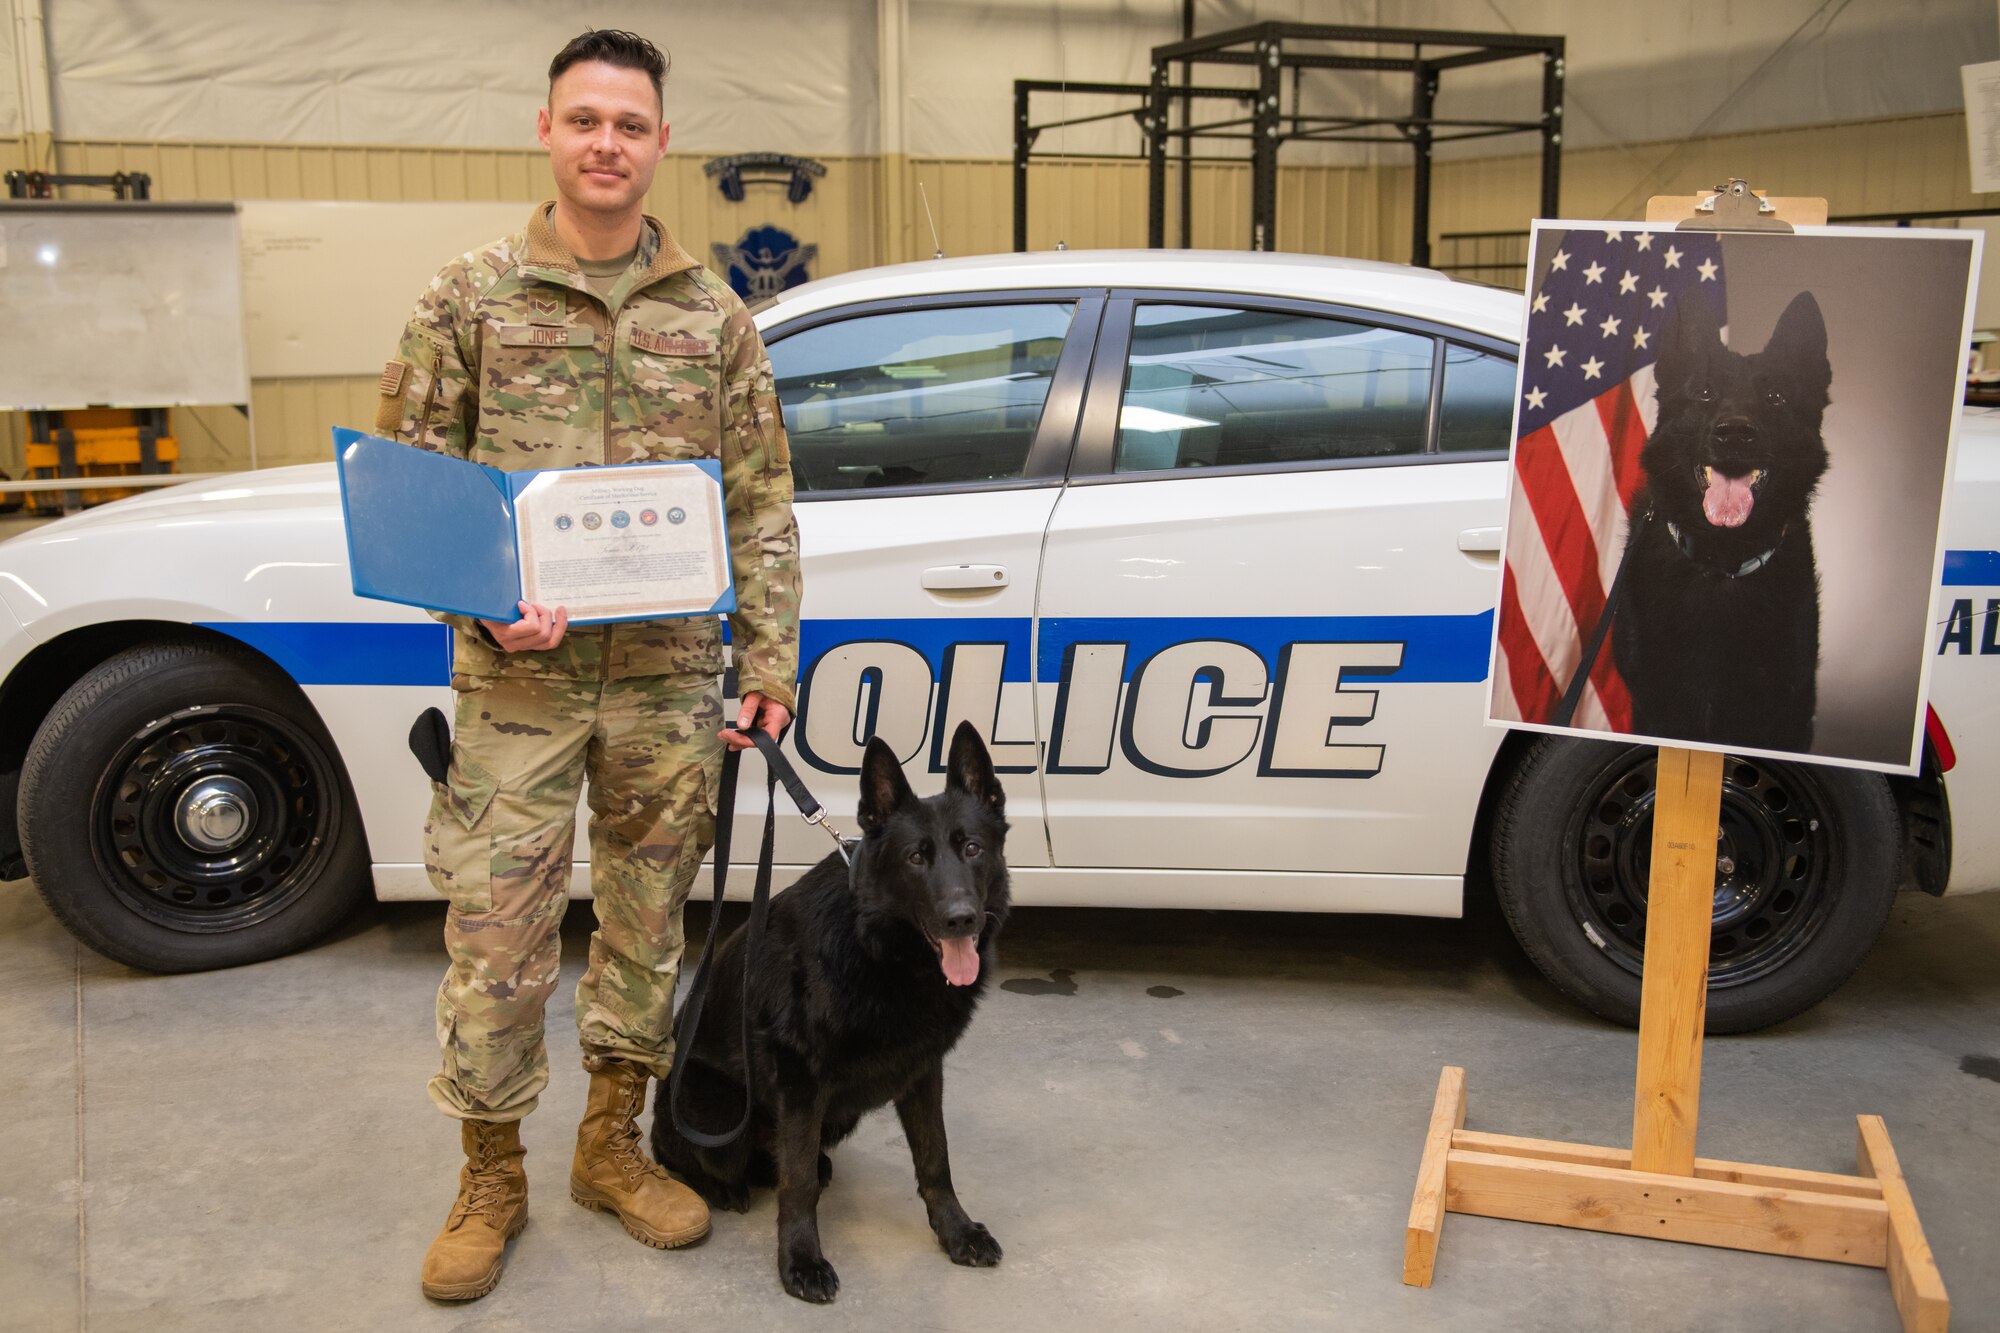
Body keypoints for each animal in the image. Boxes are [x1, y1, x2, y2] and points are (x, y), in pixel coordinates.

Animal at [648, 716, 1008, 1296]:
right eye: (915, 858)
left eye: (972, 848)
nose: (961, 919)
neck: (881, 951)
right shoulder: (800, 1081)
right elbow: (797, 1186)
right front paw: (801, 1260)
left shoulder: (923, 1071)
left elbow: (936, 1160)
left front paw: (956, 1232)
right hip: (715, 1106)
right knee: (682, 1154)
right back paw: (721, 1188)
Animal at [1608, 288, 1832, 748]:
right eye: (1705, 392)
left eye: (1776, 397)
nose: (1734, 434)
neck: (1720, 562)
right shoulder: (1655, 706)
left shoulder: (1784, 710)